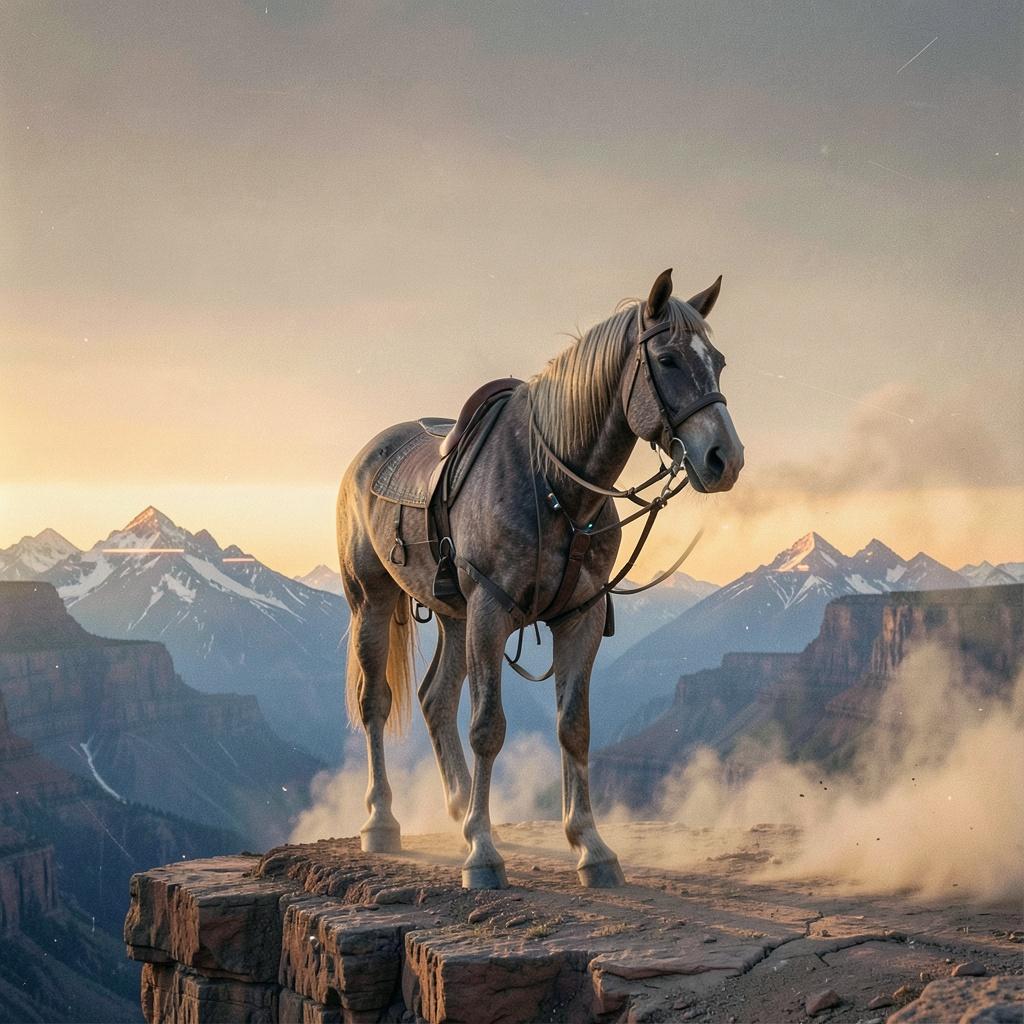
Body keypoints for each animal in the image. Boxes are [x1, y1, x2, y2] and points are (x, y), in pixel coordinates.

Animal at [336, 268, 744, 889]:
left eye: (717, 361)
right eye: (668, 359)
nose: (726, 458)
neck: (553, 482)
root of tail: (365, 456)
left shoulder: (580, 615)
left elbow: (574, 726)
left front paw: (591, 847)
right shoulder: (490, 611)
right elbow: (488, 727)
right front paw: (482, 855)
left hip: (454, 618)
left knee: (435, 699)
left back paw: (461, 811)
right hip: (373, 603)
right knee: (376, 702)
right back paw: (383, 822)